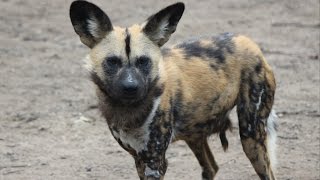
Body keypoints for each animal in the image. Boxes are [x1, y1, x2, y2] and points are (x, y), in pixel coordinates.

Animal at [70, 0, 278, 179]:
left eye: (143, 61)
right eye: (112, 62)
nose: (130, 87)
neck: (129, 111)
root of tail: (249, 42)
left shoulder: (154, 162)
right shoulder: (139, 159)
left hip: (251, 136)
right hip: (195, 135)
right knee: (211, 167)